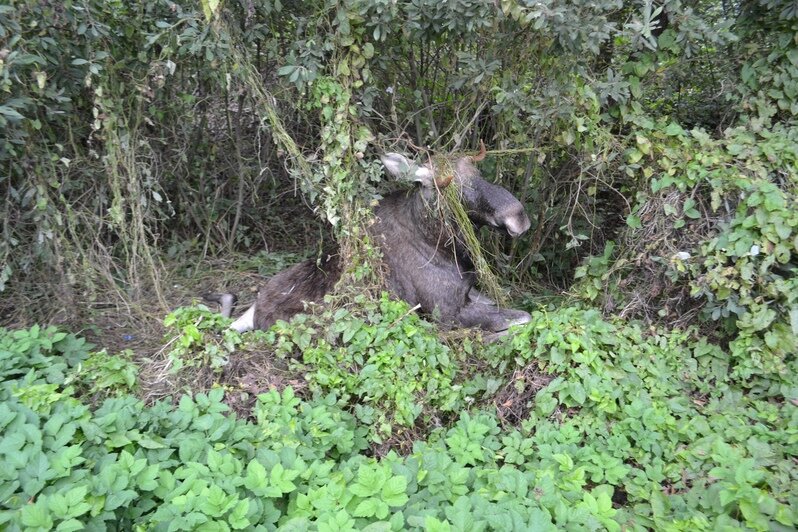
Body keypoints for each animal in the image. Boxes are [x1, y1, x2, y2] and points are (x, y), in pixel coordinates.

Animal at [209, 143, 532, 334]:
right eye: (449, 188)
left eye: (478, 173)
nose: (518, 216)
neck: (442, 246)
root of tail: (257, 307)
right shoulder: (445, 313)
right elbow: (521, 317)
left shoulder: (469, 292)